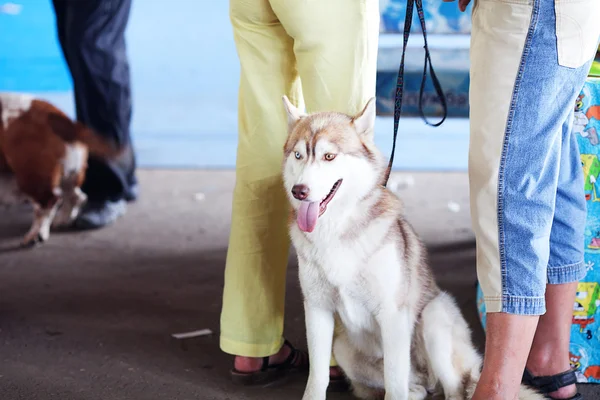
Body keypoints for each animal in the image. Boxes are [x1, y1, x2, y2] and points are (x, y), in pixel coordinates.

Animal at [0, 93, 122, 247]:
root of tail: (66, 122)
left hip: (31, 176)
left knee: (47, 204)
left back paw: (35, 236)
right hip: (70, 175)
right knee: (76, 197)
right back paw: (62, 220)